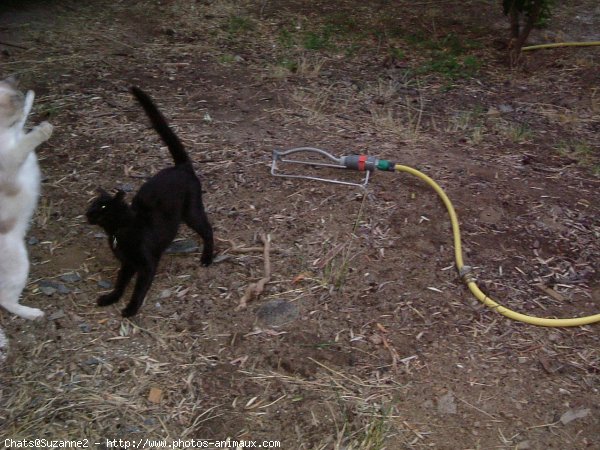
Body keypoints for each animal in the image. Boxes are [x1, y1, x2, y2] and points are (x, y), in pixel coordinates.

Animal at [85, 87, 213, 316]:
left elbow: (139, 289)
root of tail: (181, 167)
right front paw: (111, 298)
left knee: (208, 230)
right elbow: (120, 283)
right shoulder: (127, 263)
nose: (87, 213)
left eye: (102, 207)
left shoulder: (146, 265)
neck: (119, 231)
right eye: (92, 204)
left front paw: (130, 309)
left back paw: (207, 258)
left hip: (192, 212)